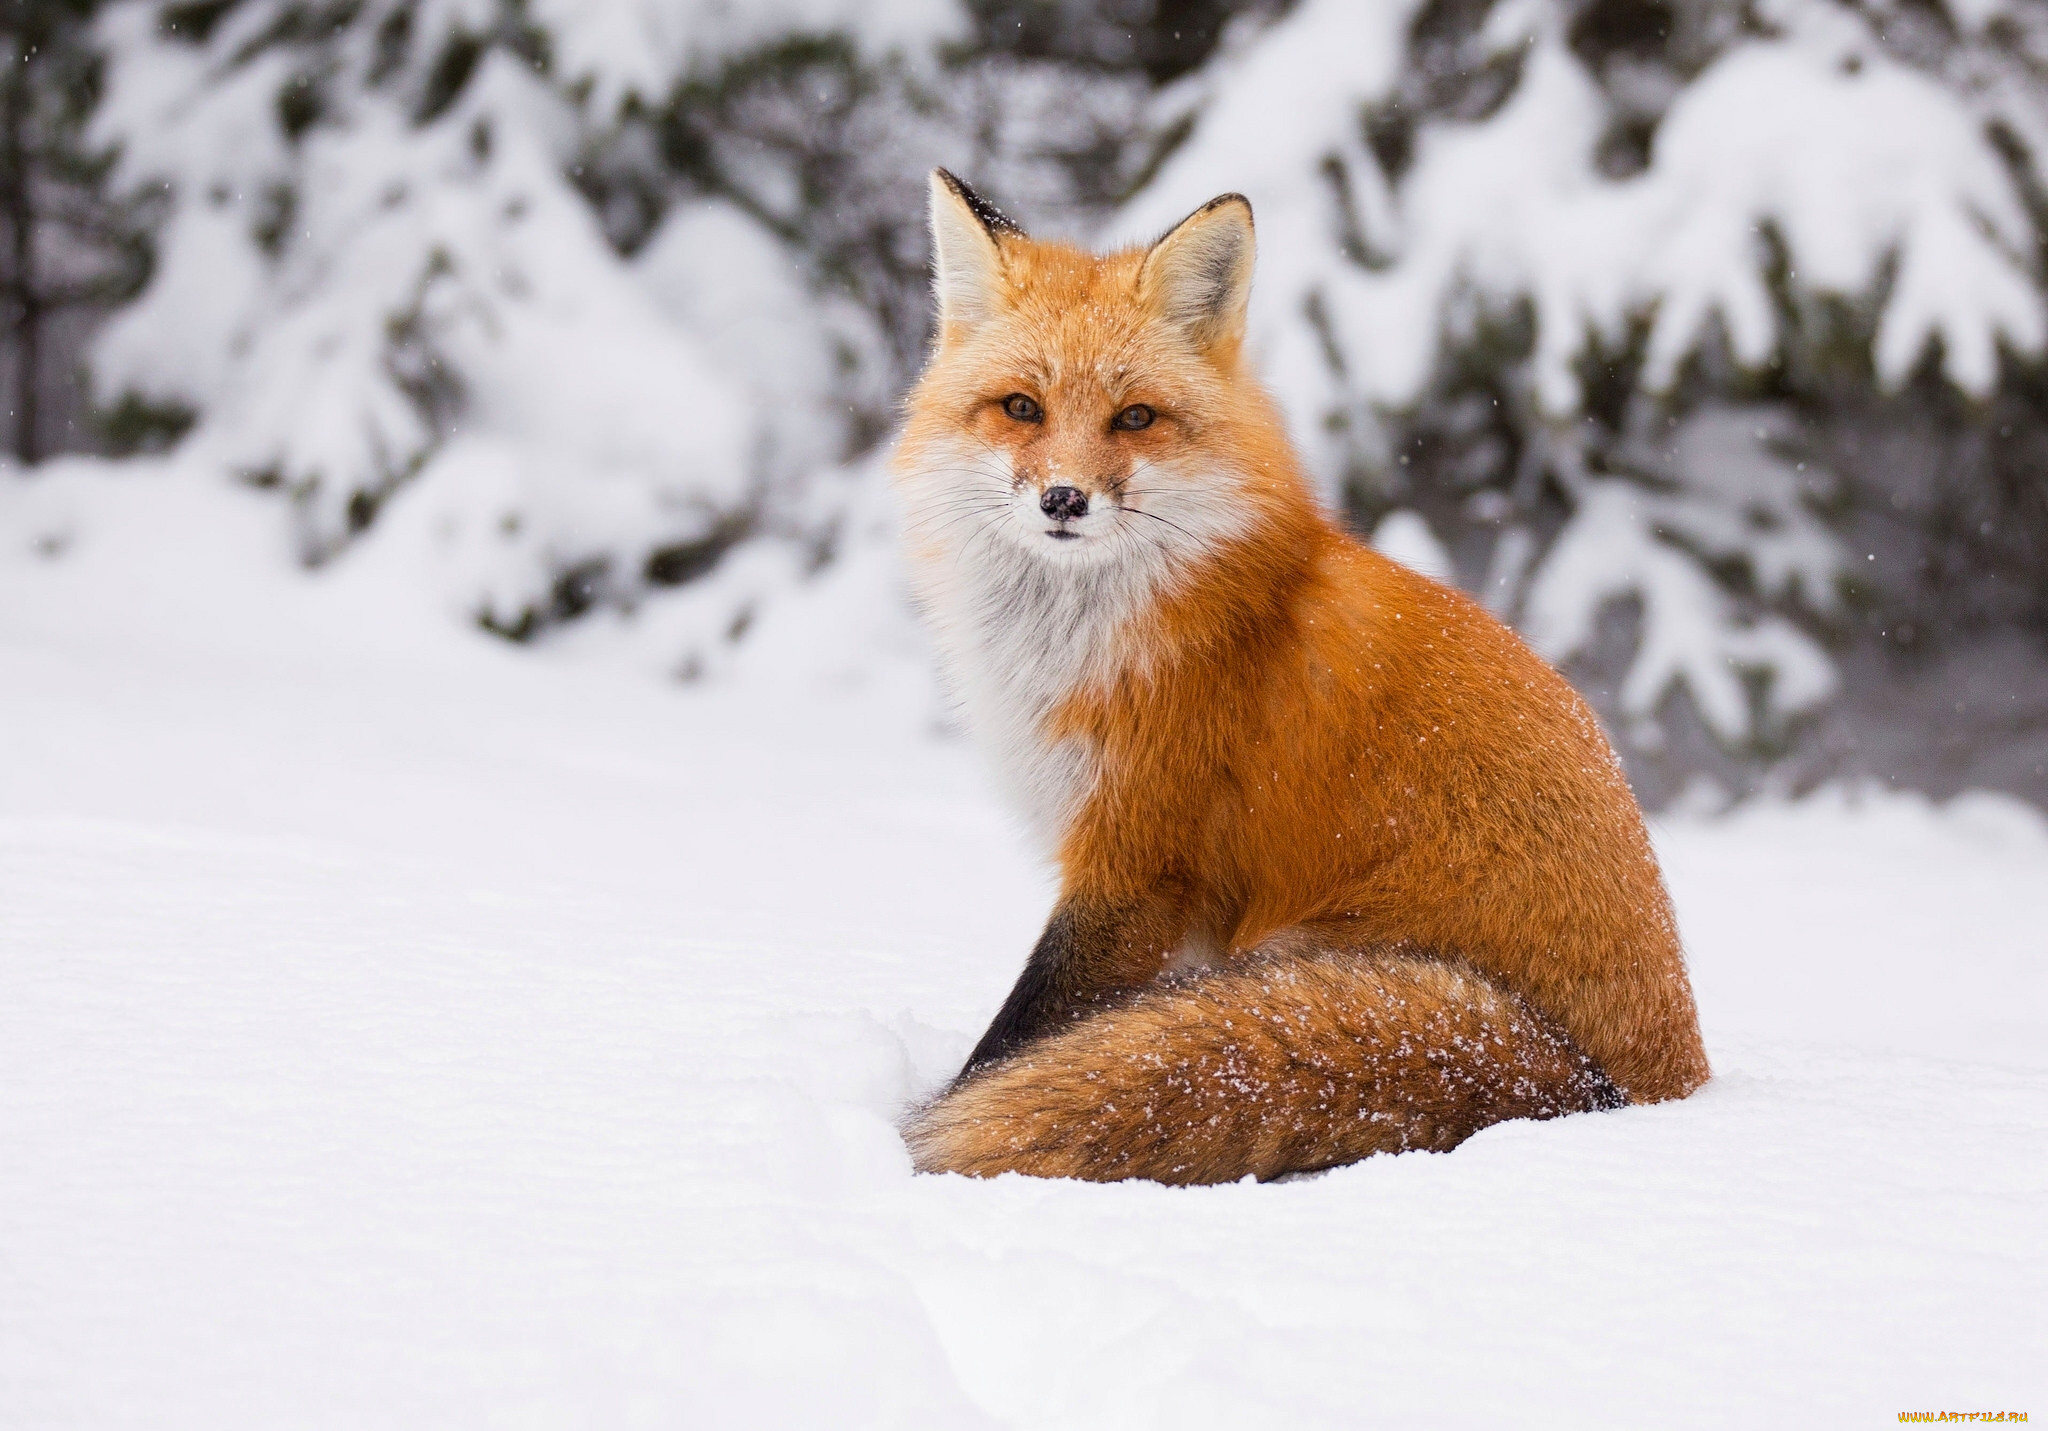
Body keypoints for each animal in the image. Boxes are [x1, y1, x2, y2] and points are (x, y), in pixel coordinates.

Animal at [897, 174, 1712, 1187]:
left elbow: (1019, 1033)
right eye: (1020, 407)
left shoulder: (1138, 860)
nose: (1064, 500)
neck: (1085, 639)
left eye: (1135, 418)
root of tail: (1618, 1088)